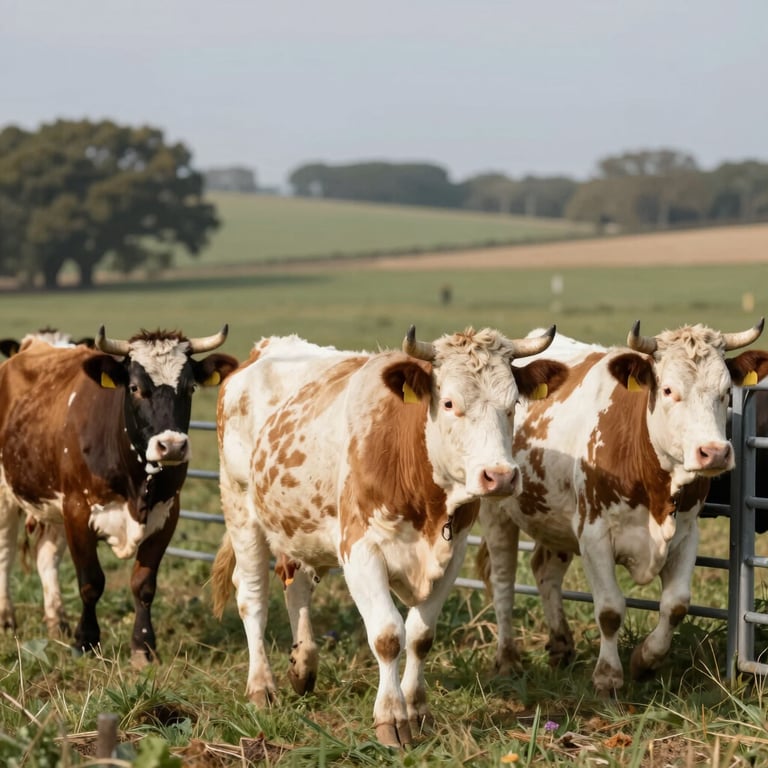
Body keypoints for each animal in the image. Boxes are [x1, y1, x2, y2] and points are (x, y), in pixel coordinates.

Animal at [0, 325, 238, 665]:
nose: (172, 446)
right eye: (136, 388)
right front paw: (85, 641)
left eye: (190, 387)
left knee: (47, 556)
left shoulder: (167, 515)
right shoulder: (78, 511)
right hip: (8, 494)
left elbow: (143, 584)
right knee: (6, 552)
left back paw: (57, 621)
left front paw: (143, 646)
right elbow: (91, 582)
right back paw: (7, 618)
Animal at [211, 325, 569, 746]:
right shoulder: (360, 551)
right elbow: (387, 635)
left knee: (296, 586)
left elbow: (420, 635)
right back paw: (261, 686)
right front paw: (392, 718)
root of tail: (263, 350)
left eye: (513, 403)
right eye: (449, 403)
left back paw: (303, 666)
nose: (499, 476)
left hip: (298, 525)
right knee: (252, 597)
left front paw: (417, 710)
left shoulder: (453, 554)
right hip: (240, 509)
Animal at [476, 319, 768, 696]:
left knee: (544, 570)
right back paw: (508, 659)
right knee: (502, 580)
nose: (714, 453)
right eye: (669, 390)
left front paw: (645, 660)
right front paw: (608, 677)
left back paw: (561, 646)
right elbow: (610, 609)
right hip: (496, 510)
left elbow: (676, 604)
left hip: (554, 521)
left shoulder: (686, 535)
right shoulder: (594, 536)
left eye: (725, 392)